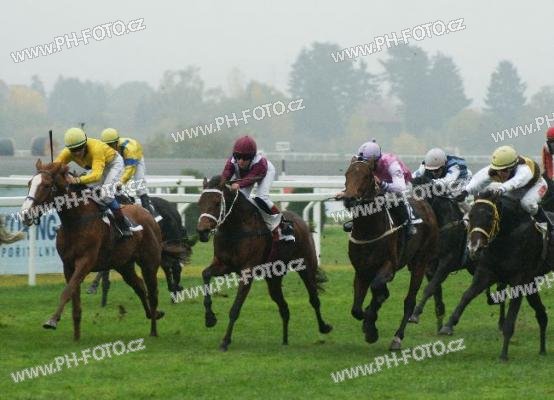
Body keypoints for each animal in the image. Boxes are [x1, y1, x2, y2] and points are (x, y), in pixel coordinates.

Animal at [21, 160, 171, 339]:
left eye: (46, 185)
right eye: (29, 183)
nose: (25, 214)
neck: (76, 221)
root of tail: (147, 213)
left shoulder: (85, 262)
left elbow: (67, 291)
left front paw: (52, 320)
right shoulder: (68, 265)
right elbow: (74, 299)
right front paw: (76, 337)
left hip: (149, 262)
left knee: (153, 293)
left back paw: (154, 330)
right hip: (124, 265)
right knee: (139, 286)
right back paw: (153, 314)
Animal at [197, 176, 332, 351]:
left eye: (217, 203)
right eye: (199, 202)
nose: (202, 232)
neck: (237, 228)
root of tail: (300, 221)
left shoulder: (247, 272)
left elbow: (235, 308)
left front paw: (225, 341)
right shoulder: (224, 264)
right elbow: (205, 274)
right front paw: (210, 318)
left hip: (305, 266)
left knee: (314, 298)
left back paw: (324, 327)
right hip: (273, 277)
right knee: (284, 307)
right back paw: (285, 340)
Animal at [342, 158, 438, 350]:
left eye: (366, 176)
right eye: (347, 174)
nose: (349, 199)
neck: (368, 230)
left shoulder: (389, 266)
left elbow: (376, 290)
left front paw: (371, 327)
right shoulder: (361, 270)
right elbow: (356, 309)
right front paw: (369, 325)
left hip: (420, 262)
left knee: (409, 301)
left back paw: (397, 338)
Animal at [438, 191, 548, 360]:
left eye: (490, 216)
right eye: (471, 215)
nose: (474, 248)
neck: (508, 235)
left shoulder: (519, 279)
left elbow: (510, 318)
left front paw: (504, 354)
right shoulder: (487, 272)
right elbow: (466, 295)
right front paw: (448, 325)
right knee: (541, 314)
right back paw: (542, 349)